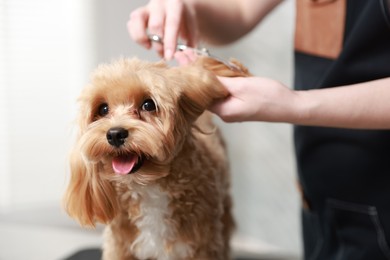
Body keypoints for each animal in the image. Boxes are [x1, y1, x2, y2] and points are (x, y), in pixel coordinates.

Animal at [62, 55, 248, 258]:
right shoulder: (119, 247)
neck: (149, 186)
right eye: (103, 109)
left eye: (148, 104)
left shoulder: (204, 245)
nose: (115, 134)